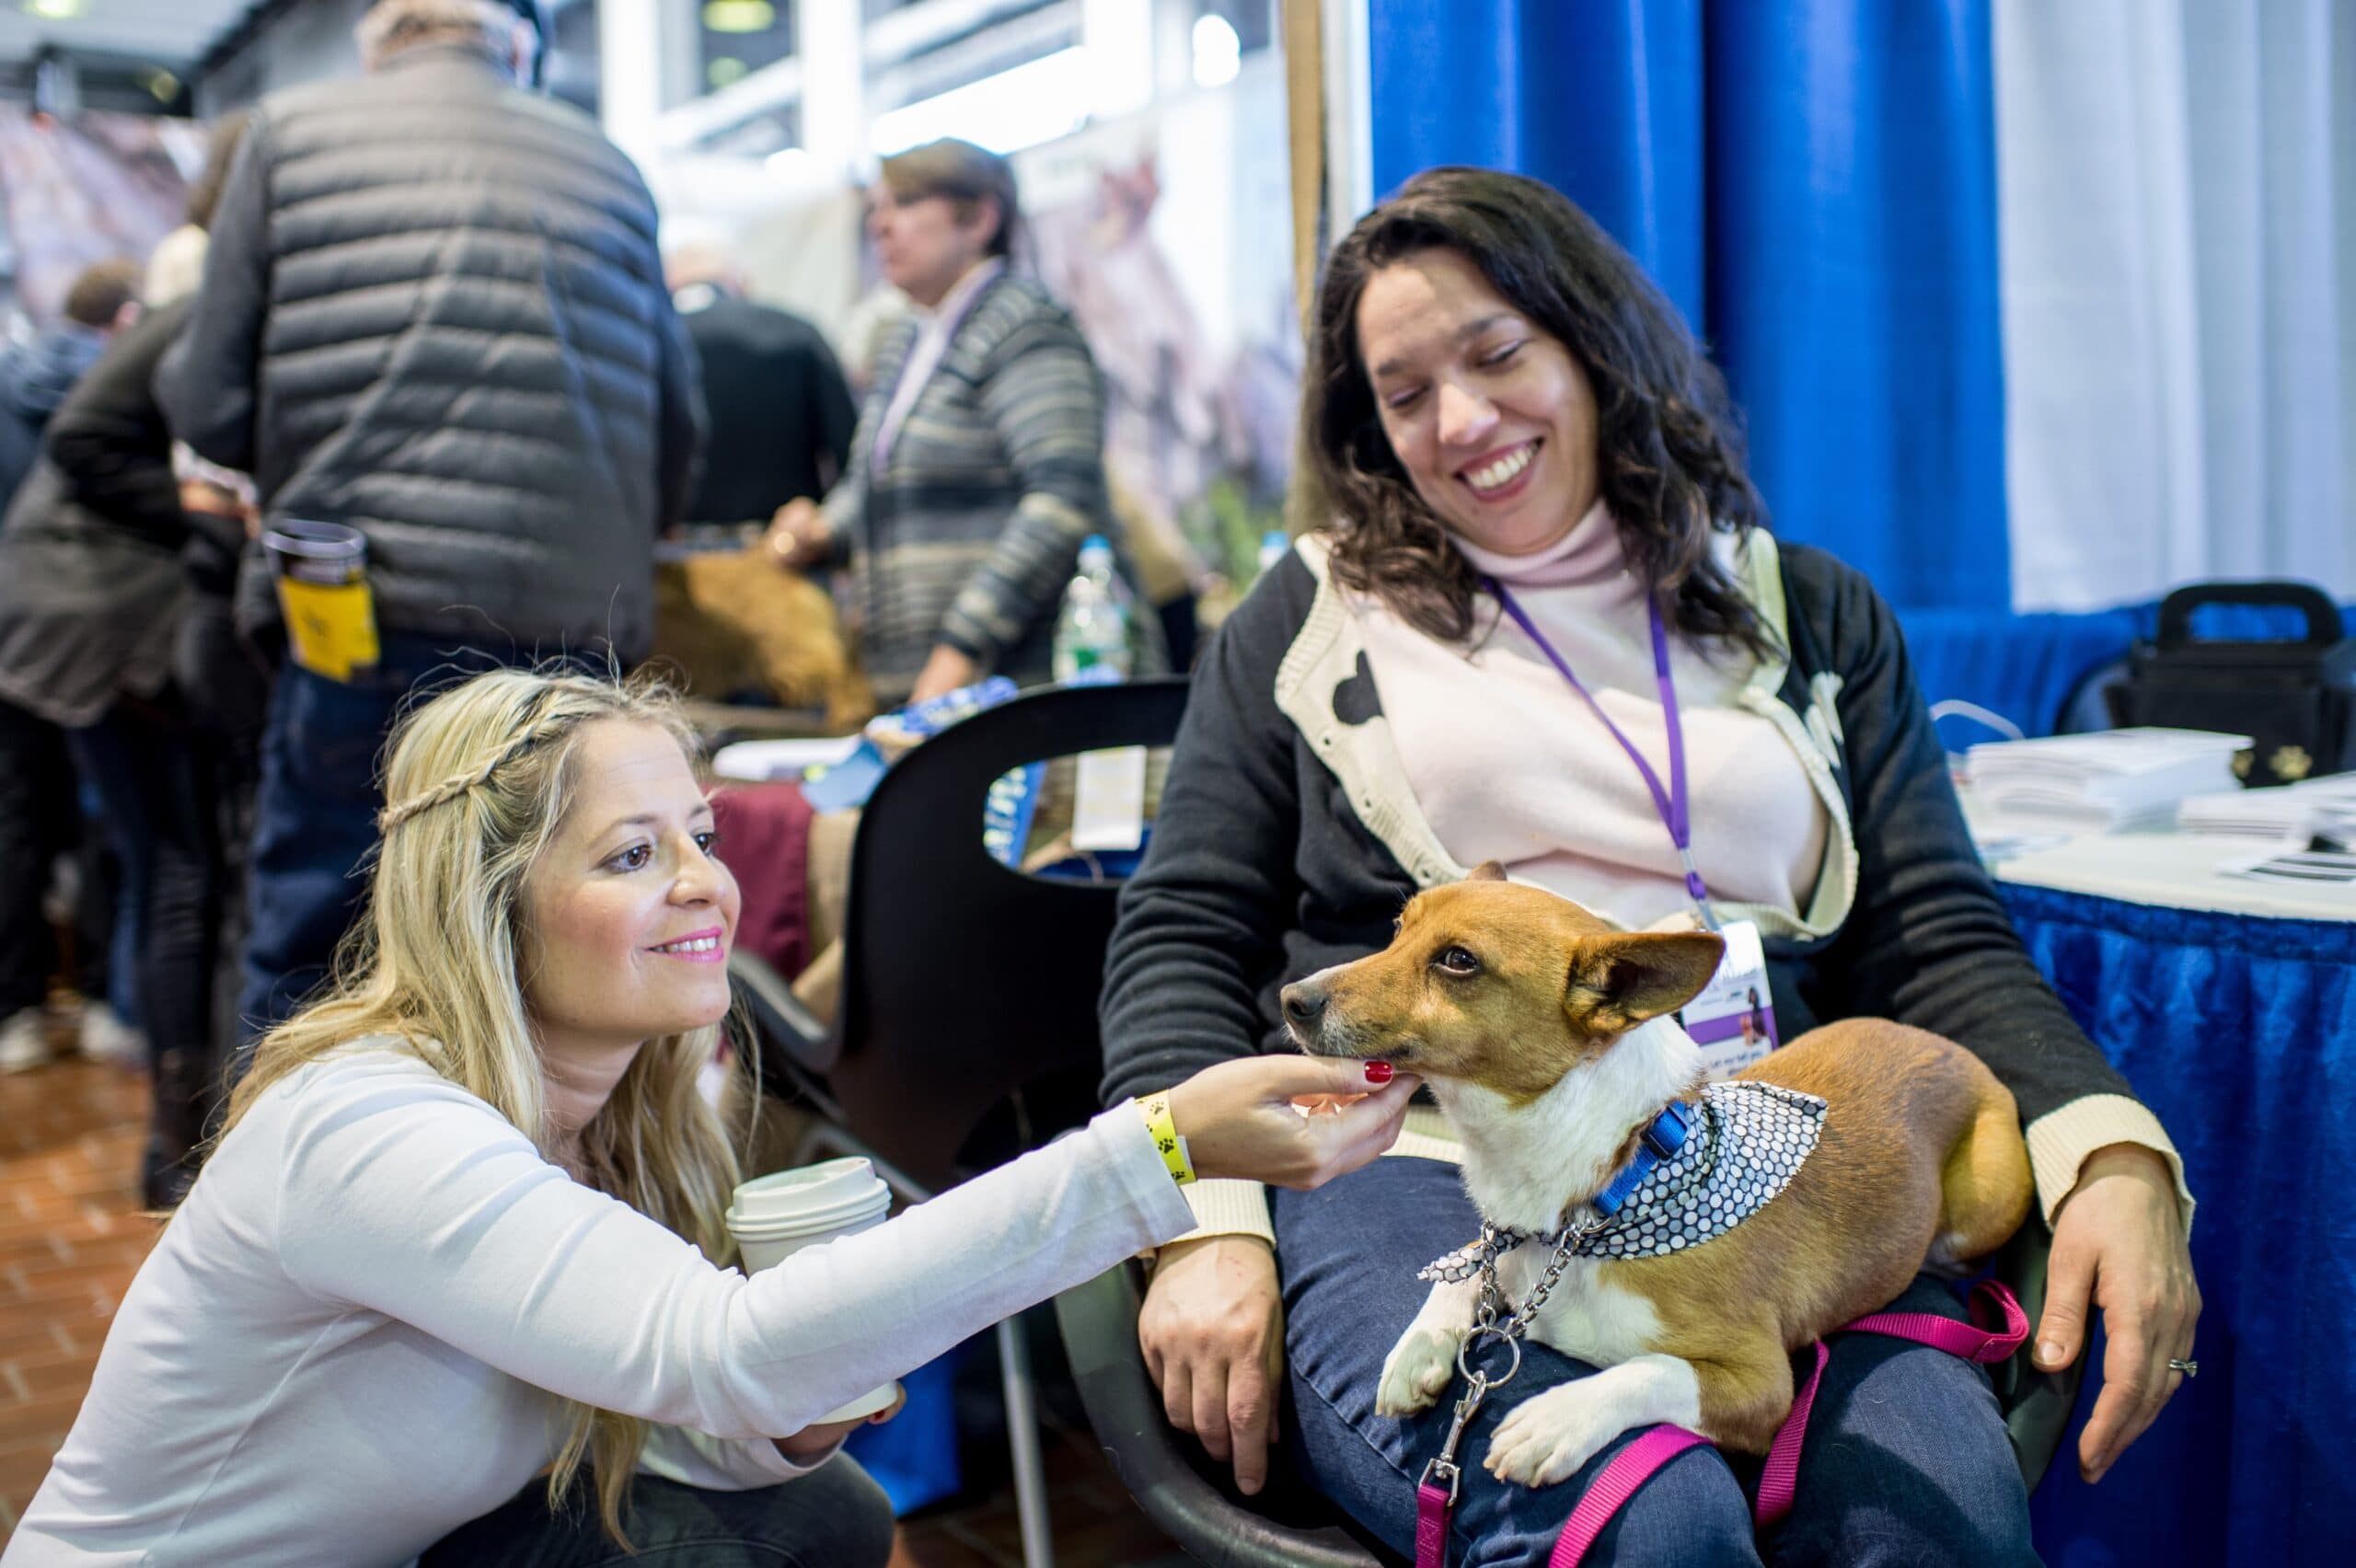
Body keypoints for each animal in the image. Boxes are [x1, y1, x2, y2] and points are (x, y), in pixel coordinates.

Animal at [1281, 861, 2035, 1488]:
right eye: (1397, 931)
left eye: (1459, 961)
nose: (1292, 998)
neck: (1604, 1201)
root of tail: (1948, 1047)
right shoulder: (1504, 1244)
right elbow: (1460, 1267)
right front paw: (1417, 1350)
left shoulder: (1763, 1385)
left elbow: (1652, 1370)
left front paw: (1557, 1419)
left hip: (1982, 1205)